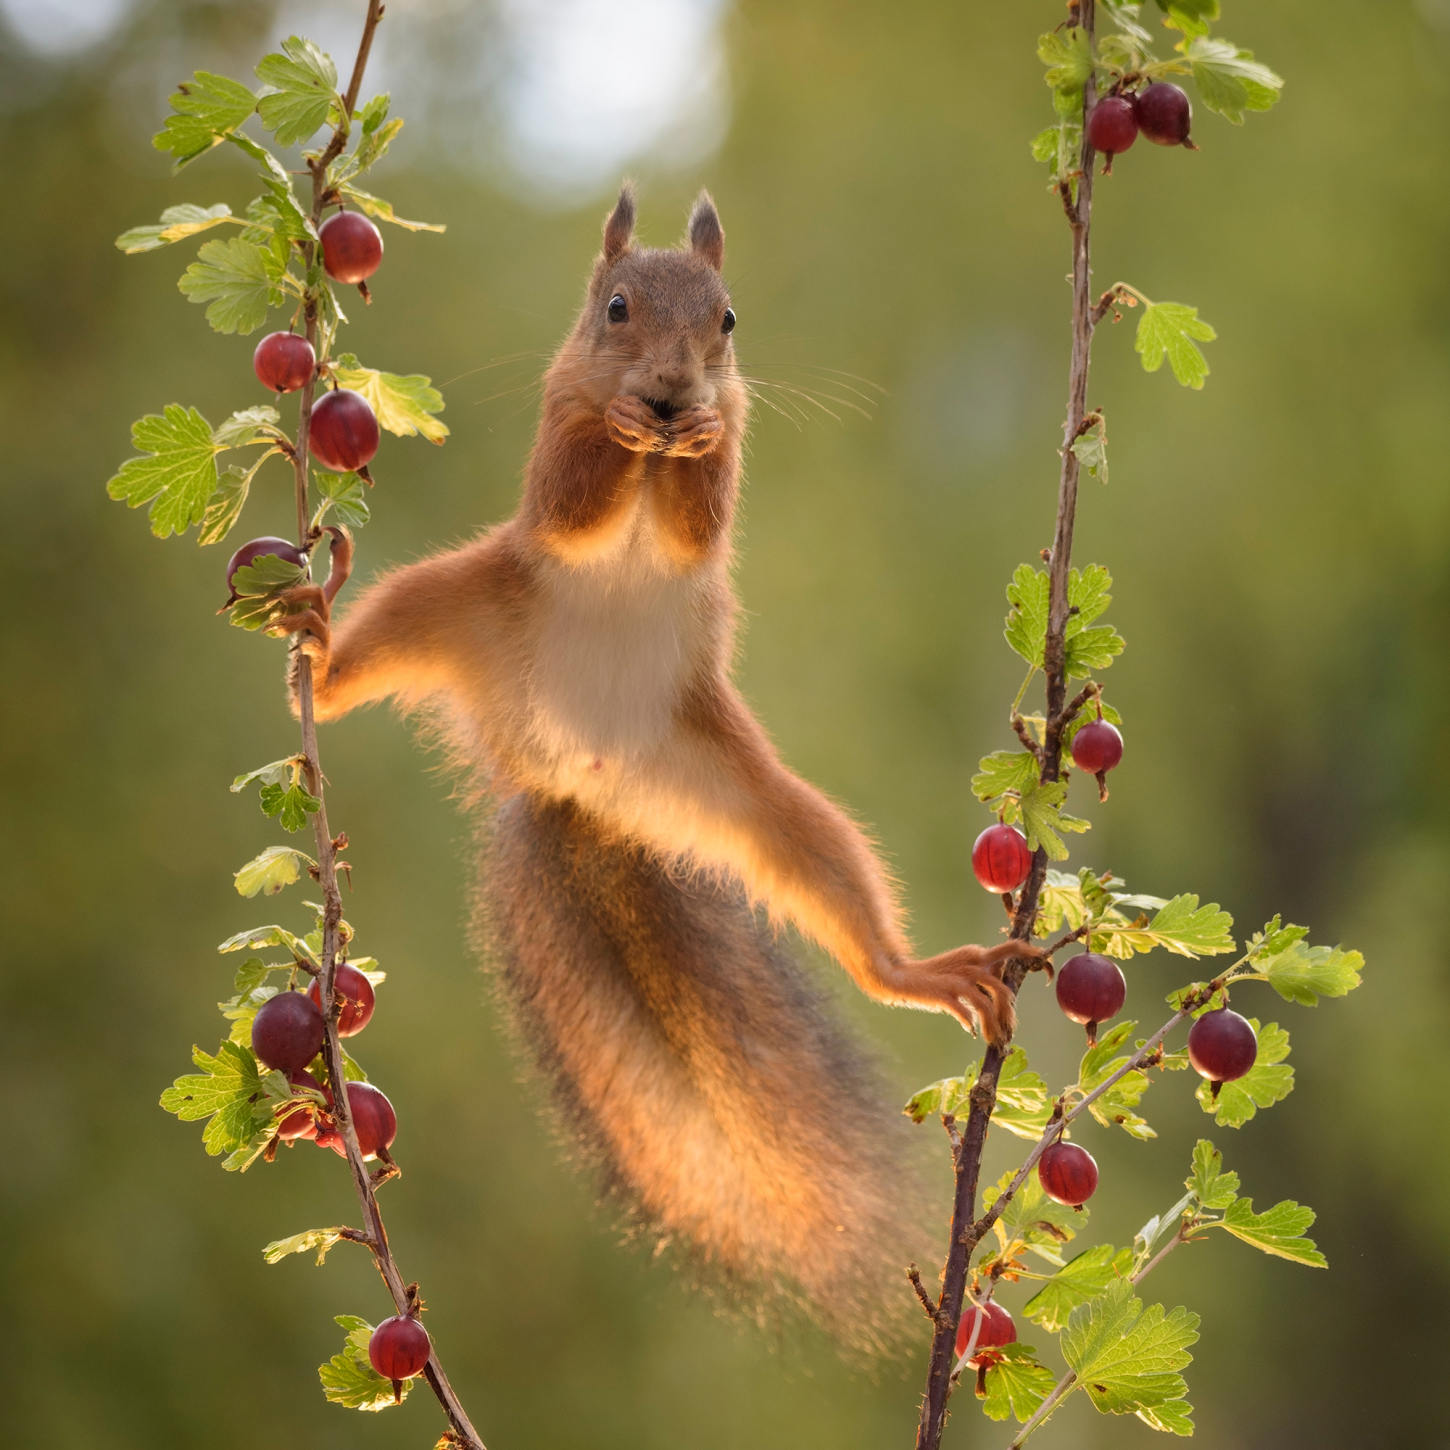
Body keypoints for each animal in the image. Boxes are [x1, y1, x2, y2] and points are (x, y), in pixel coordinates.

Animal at [276, 187, 1044, 1339]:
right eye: (615, 309)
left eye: (727, 319)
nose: (672, 394)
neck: (652, 460)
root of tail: (570, 783)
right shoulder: (555, 427)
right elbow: (571, 497)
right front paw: (623, 426)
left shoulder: (728, 456)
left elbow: (700, 518)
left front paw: (697, 436)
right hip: (449, 604)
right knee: (368, 644)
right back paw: (317, 656)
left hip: (734, 783)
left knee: (816, 862)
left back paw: (911, 970)